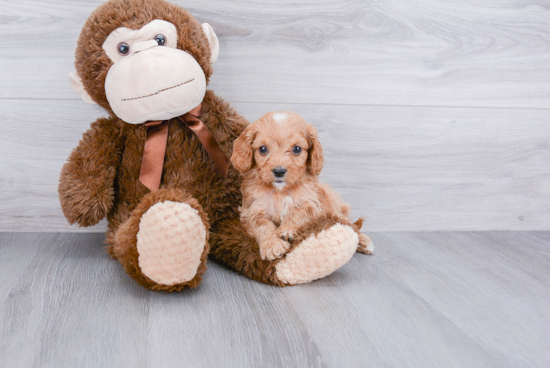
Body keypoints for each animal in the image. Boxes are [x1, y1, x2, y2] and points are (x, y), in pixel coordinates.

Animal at [229, 110, 376, 260]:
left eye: (297, 149)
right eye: (263, 149)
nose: (279, 171)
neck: (281, 191)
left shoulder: (312, 205)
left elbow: (297, 213)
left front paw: (286, 230)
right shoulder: (252, 210)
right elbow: (262, 224)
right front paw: (272, 244)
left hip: (334, 210)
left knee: (350, 224)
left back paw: (364, 242)